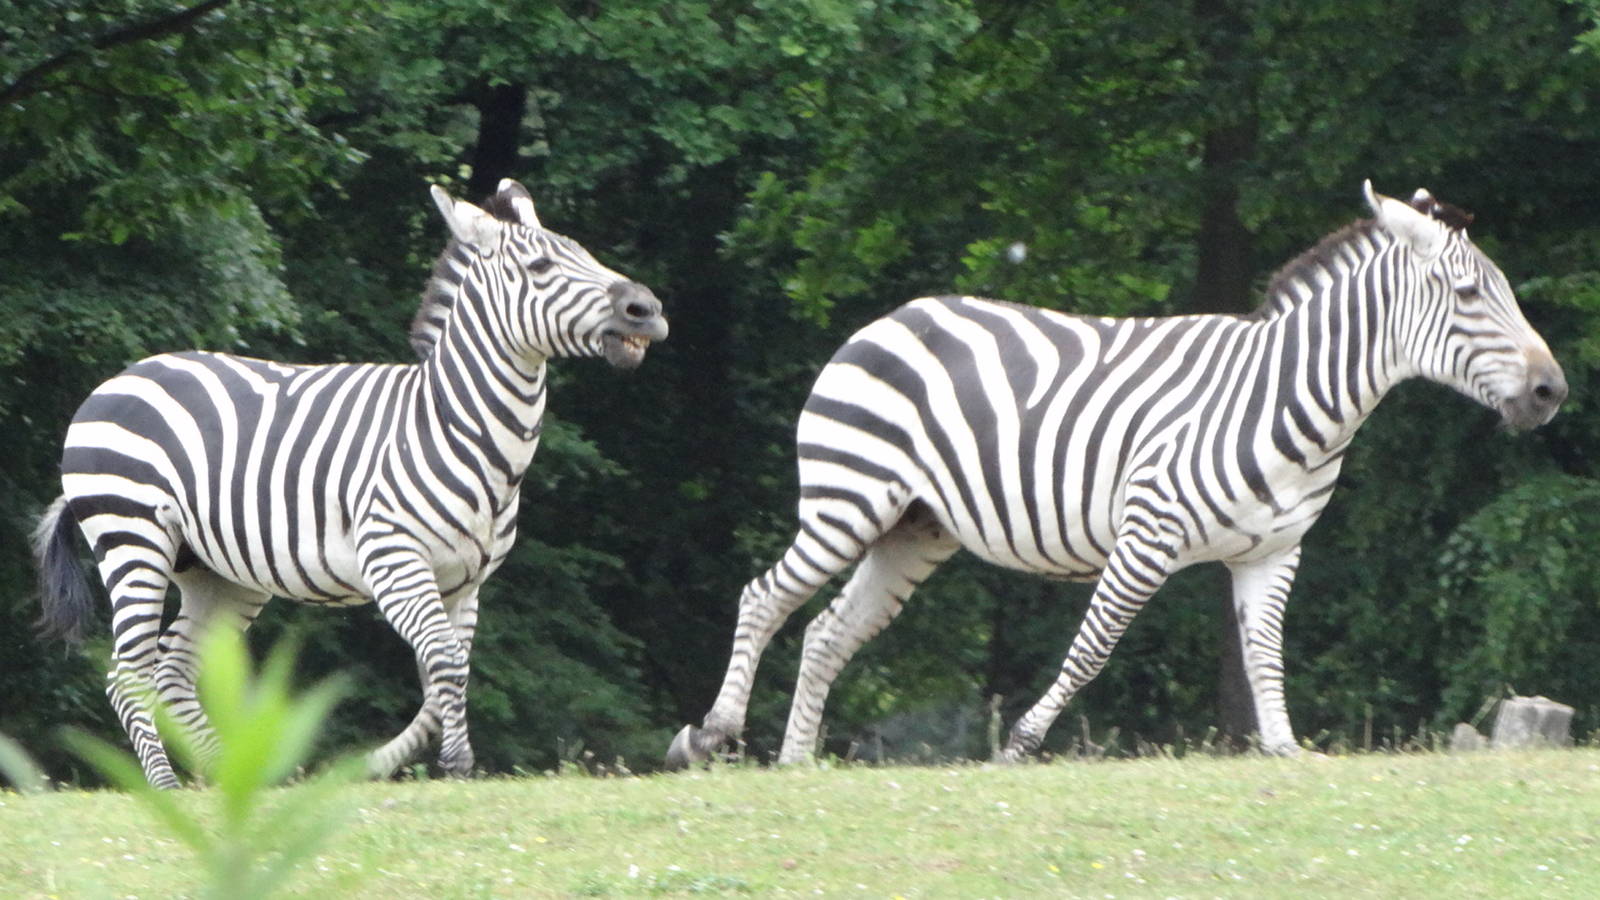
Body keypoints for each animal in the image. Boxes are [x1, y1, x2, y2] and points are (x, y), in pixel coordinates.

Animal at [33, 179, 668, 789]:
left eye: (585, 252)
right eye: (540, 267)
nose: (649, 308)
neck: (456, 426)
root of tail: (123, 375)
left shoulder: (466, 582)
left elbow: (448, 671)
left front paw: (397, 763)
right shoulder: (394, 561)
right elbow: (444, 662)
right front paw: (453, 765)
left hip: (218, 573)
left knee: (172, 671)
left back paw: (236, 784)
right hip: (134, 536)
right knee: (128, 674)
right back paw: (166, 784)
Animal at [667, 181, 1565, 769]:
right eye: (1467, 294)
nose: (1552, 391)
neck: (1290, 402)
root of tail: (888, 317)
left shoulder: (1273, 553)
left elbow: (1265, 656)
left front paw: (1284, 749)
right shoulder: (1148, 532)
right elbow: (1093, 646)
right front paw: (1023, 743)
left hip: (913, 529)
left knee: (826, 631)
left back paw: (797, 761)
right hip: (847, 499)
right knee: (765, 597)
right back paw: (709, 735)